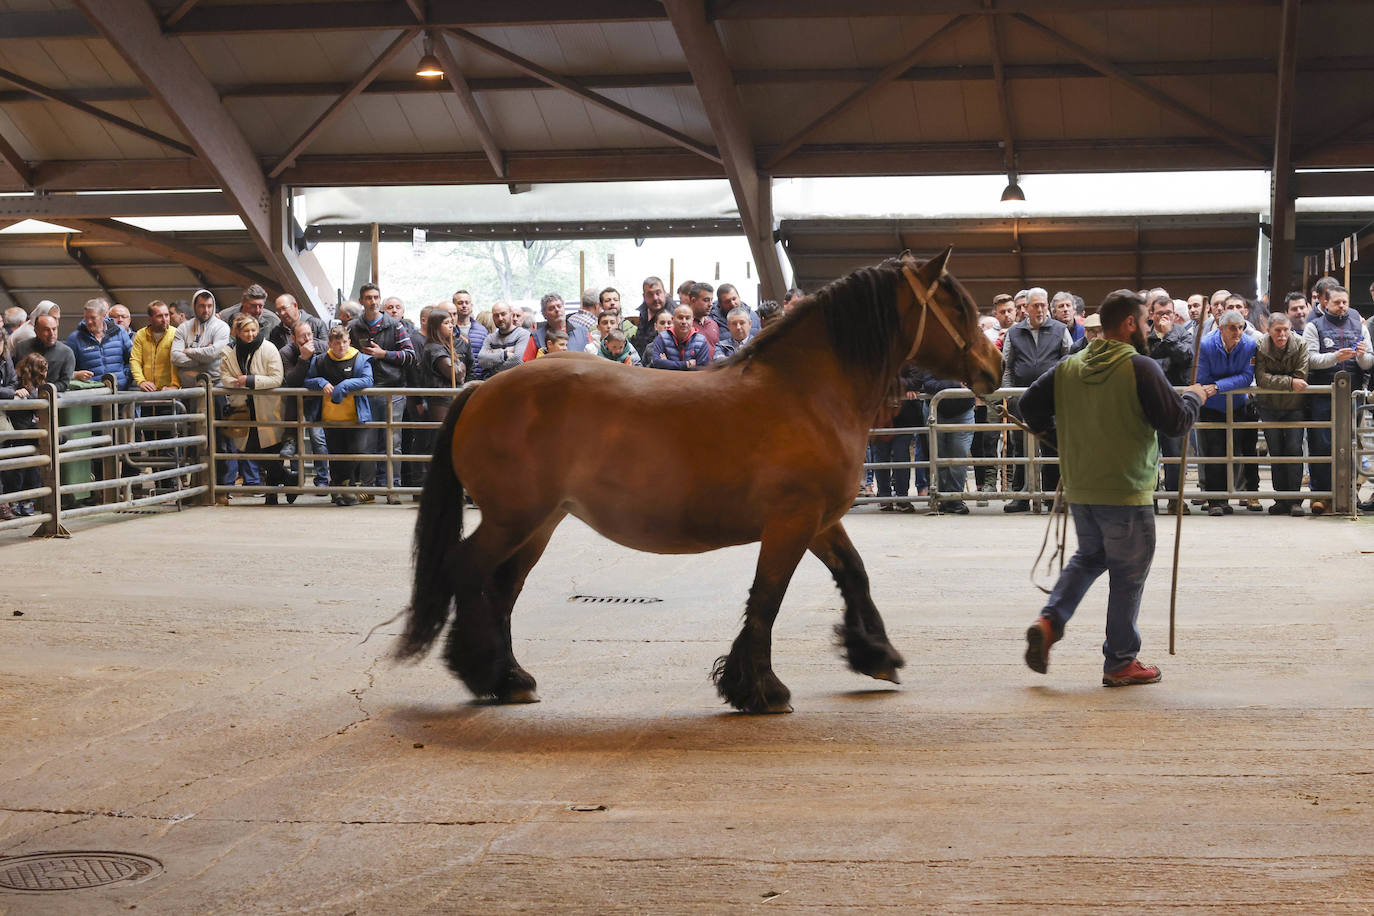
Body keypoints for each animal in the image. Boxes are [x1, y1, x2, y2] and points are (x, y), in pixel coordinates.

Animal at [396, 249, 1002, 713]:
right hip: (514, 519)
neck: (806, 393)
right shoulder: (792, 522)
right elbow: (767, 598)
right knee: (468, 571)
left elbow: (854, 575)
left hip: (538, 523)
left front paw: (876, 654)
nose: (993, 370)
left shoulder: (820, 520)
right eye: (956, 305)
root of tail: (481, 389)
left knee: (501, 589)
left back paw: (509, 678)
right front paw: (760, 689)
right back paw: (481, 672)